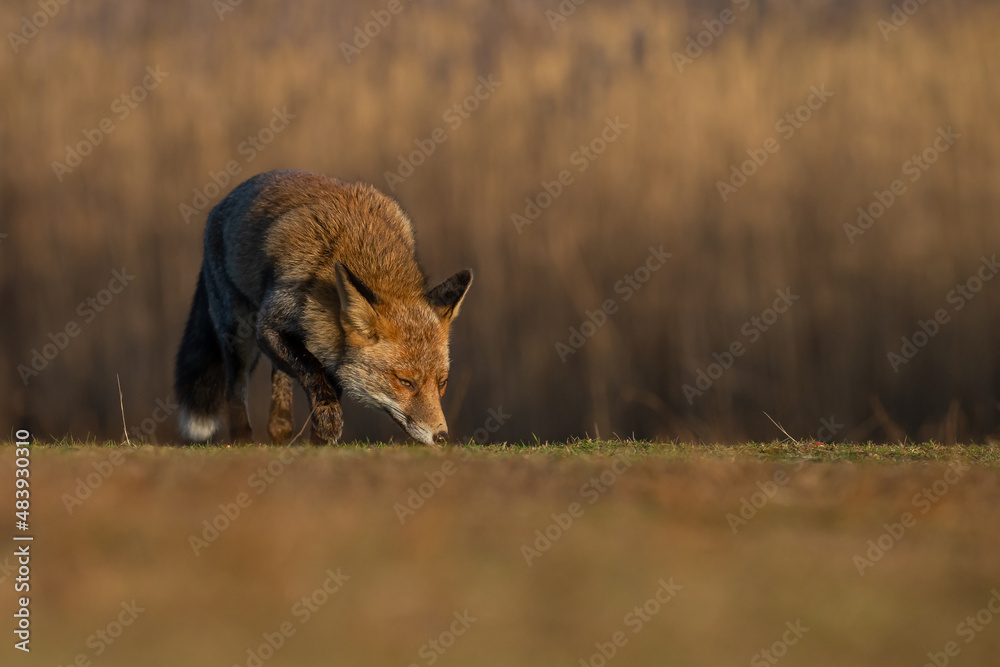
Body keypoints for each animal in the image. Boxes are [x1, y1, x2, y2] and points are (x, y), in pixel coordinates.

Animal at [174, 169, 472, 445]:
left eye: (442, 383)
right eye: (405, 382)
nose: (441, 436)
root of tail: (223, 201)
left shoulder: (334, 347)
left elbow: (327, 382)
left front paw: (318, 440)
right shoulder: (269, 326)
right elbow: (312, 372)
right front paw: (328, 422)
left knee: (279, 376)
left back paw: (280, 429)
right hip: (238, 332)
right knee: (235, 387)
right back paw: (243, 438)